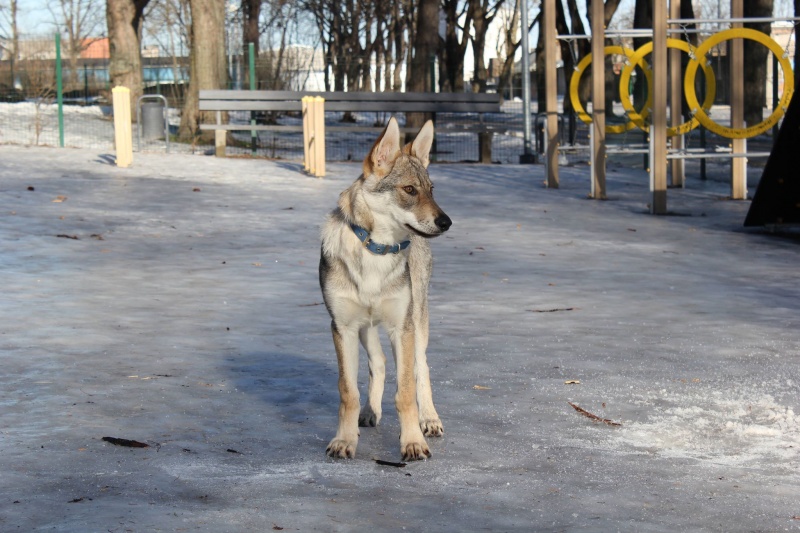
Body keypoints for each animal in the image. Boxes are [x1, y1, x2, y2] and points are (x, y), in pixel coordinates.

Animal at [322, 118, 454, 460]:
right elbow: (348, 392)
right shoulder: (342, 327)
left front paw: (413, 443)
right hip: (366, 328)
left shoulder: (401, 328)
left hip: (417, 322)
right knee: (378, 363)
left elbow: (405, 391)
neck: (375, 251)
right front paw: (344, 440)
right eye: (409, 190)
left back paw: (429, 419)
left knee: (422, 368)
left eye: (431, 190)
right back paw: (370, 412)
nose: (446, 221)